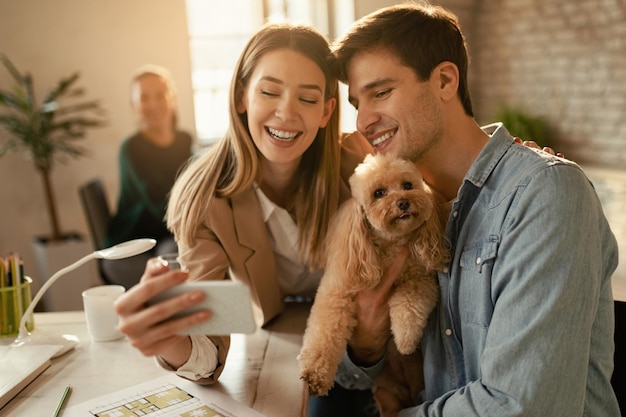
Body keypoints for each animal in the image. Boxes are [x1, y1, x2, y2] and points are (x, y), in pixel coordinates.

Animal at [294, 151, 446, 404]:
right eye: (379, 193)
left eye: (408, 185)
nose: (403, 202)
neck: (389, 245)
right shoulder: (336, 294)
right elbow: (324, 335)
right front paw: (315, 375)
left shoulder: (419, 279)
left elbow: (409, 305)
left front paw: (405, 340)